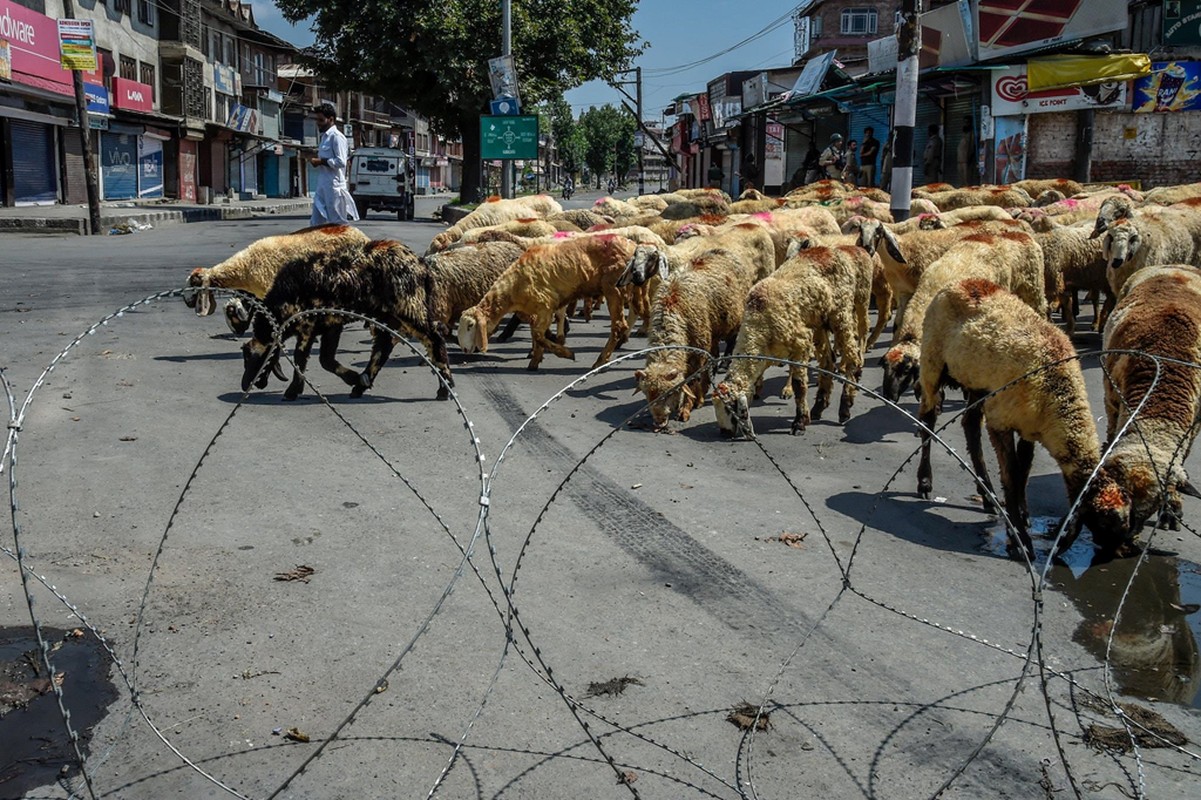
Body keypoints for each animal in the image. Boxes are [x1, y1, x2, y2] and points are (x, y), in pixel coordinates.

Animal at [238, 236, 451, 398]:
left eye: (254, 357)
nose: (246, 385)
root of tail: (421, 264)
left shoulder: (308, 326)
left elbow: (301, 358)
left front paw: (292, 391)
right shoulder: (330, 325)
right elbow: (326, 359)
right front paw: (352, 378)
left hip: (410, 309)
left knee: (434, 338)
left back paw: (445, 388)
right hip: (388, 317)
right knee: (383, 347)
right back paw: (361, 385)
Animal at [453, 230, 638, 367]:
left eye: (470, 326)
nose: (464, 349)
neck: (513, 287)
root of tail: (632, 246)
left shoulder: (545, 306)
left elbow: (538, 335)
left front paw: (564, 353)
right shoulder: (533, 311)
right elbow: (536, 334)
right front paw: (536, 358)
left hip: (614, 288)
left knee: (618, 325)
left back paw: (600, 360)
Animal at [912, 278, 1128, 554]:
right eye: (1106, 523)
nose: (1123, 552)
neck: (1057, 391)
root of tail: (962, 282)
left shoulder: (1029, 428)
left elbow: (1024, 469)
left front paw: (1023, 516)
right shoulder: (1000, 421)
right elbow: (1011, 476)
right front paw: (1019, 538)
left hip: (977, 383)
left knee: (970, 426)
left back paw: (988, 496)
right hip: (932, 361)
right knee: (928, 420)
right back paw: (925, 482)